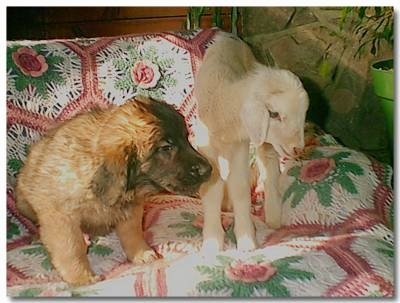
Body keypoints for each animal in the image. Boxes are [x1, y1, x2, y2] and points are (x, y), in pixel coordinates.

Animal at [14, 96, 212, 286]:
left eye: (186, 138)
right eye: (166, 147)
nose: (209, 170)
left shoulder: (131, 208)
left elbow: (132, 233)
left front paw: (141, 253)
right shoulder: (61, 217)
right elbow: (71, 248)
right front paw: (81, 277)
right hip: (23, 201)